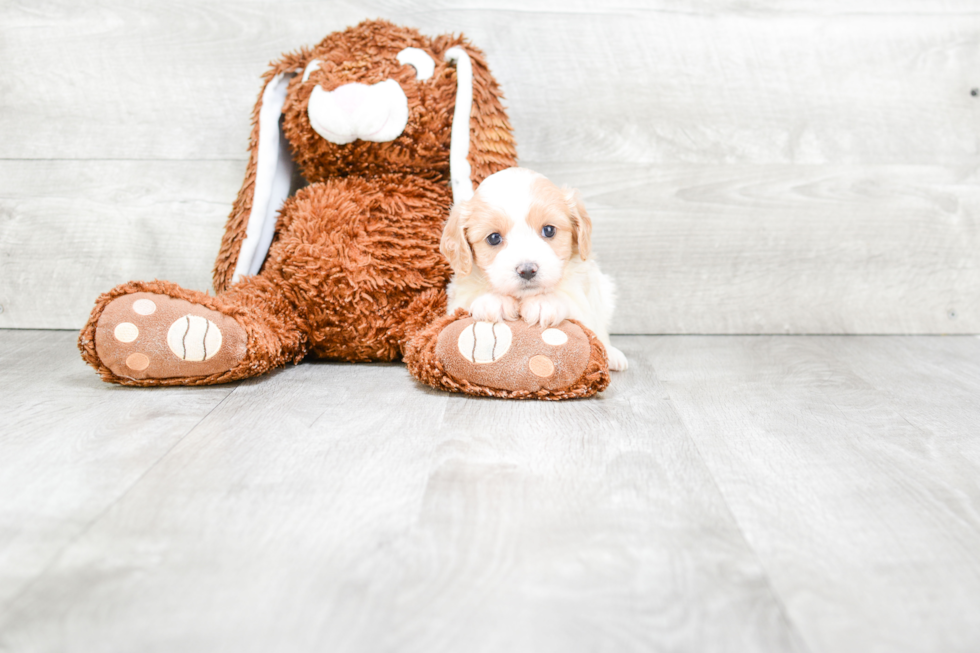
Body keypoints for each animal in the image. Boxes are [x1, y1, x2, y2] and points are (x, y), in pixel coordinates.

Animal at [442, 167, 628, 372]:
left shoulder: (585, 302)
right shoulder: (456, 300)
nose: (527, 270)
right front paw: (494, 300)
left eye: (549, 230)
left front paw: (544, 302)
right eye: (493, 238)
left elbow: (571, 302)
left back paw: (612, 355)